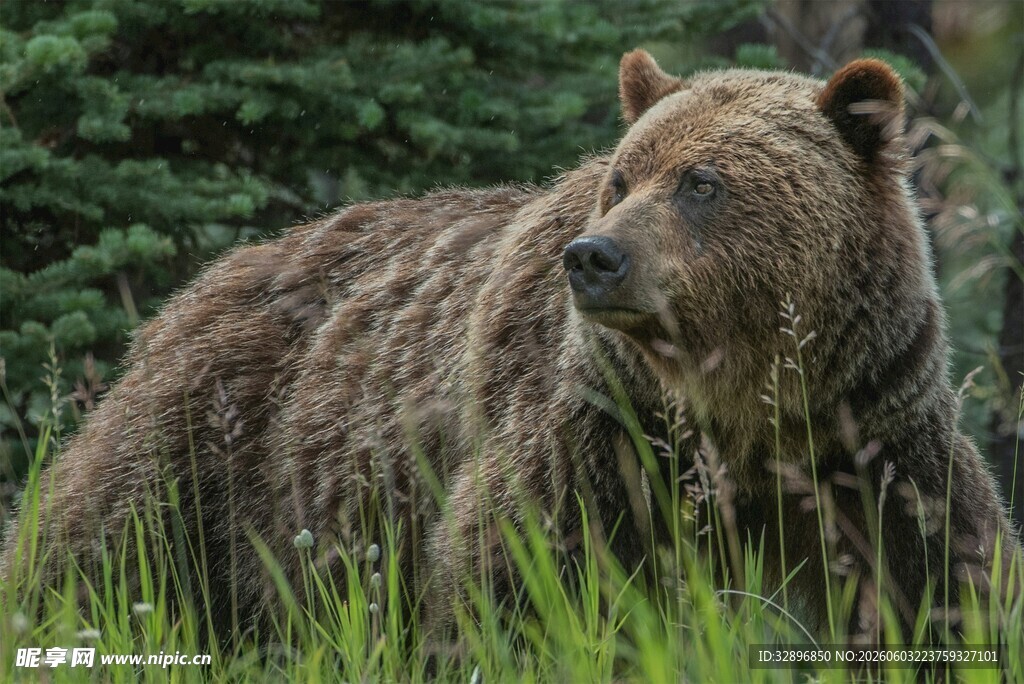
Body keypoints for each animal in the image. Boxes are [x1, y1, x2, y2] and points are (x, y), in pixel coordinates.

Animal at [2, 50, 1018, 644]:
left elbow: (940, 572)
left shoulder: (867, 427)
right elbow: (524, 568)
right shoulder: (605, 428)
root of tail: (207, 279)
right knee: (96, 546)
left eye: (703, 182)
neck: (741, 395)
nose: (595, 257)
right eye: (623, 176)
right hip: (215, 435)